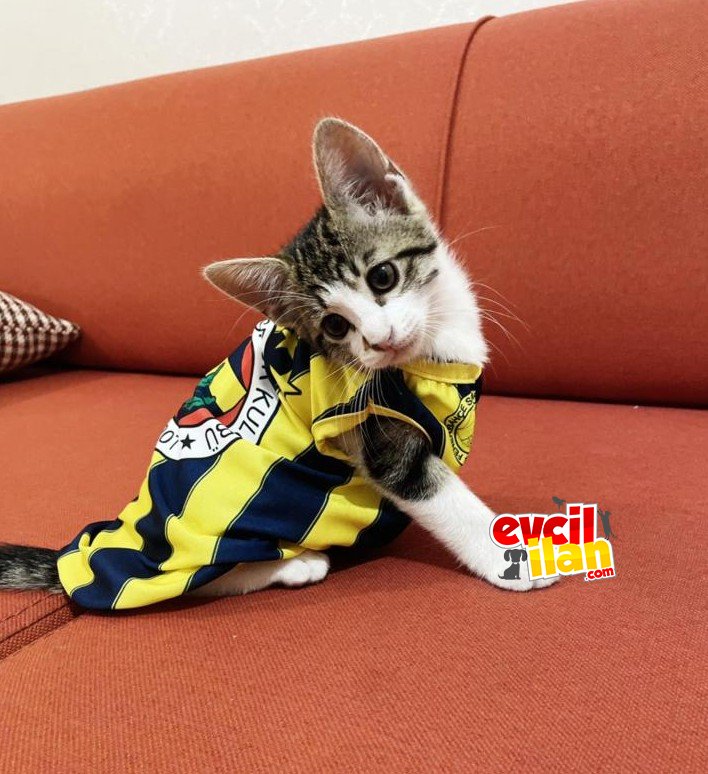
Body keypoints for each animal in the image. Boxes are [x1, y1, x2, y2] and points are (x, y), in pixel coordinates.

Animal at [0, 118, 555, 602]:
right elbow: (438, 493)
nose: (379, 341)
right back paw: (294, 565)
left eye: (382, 277)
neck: (433, 346)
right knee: (199, 579)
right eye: (334, 327)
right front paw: (510, 556)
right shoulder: (372, 430)